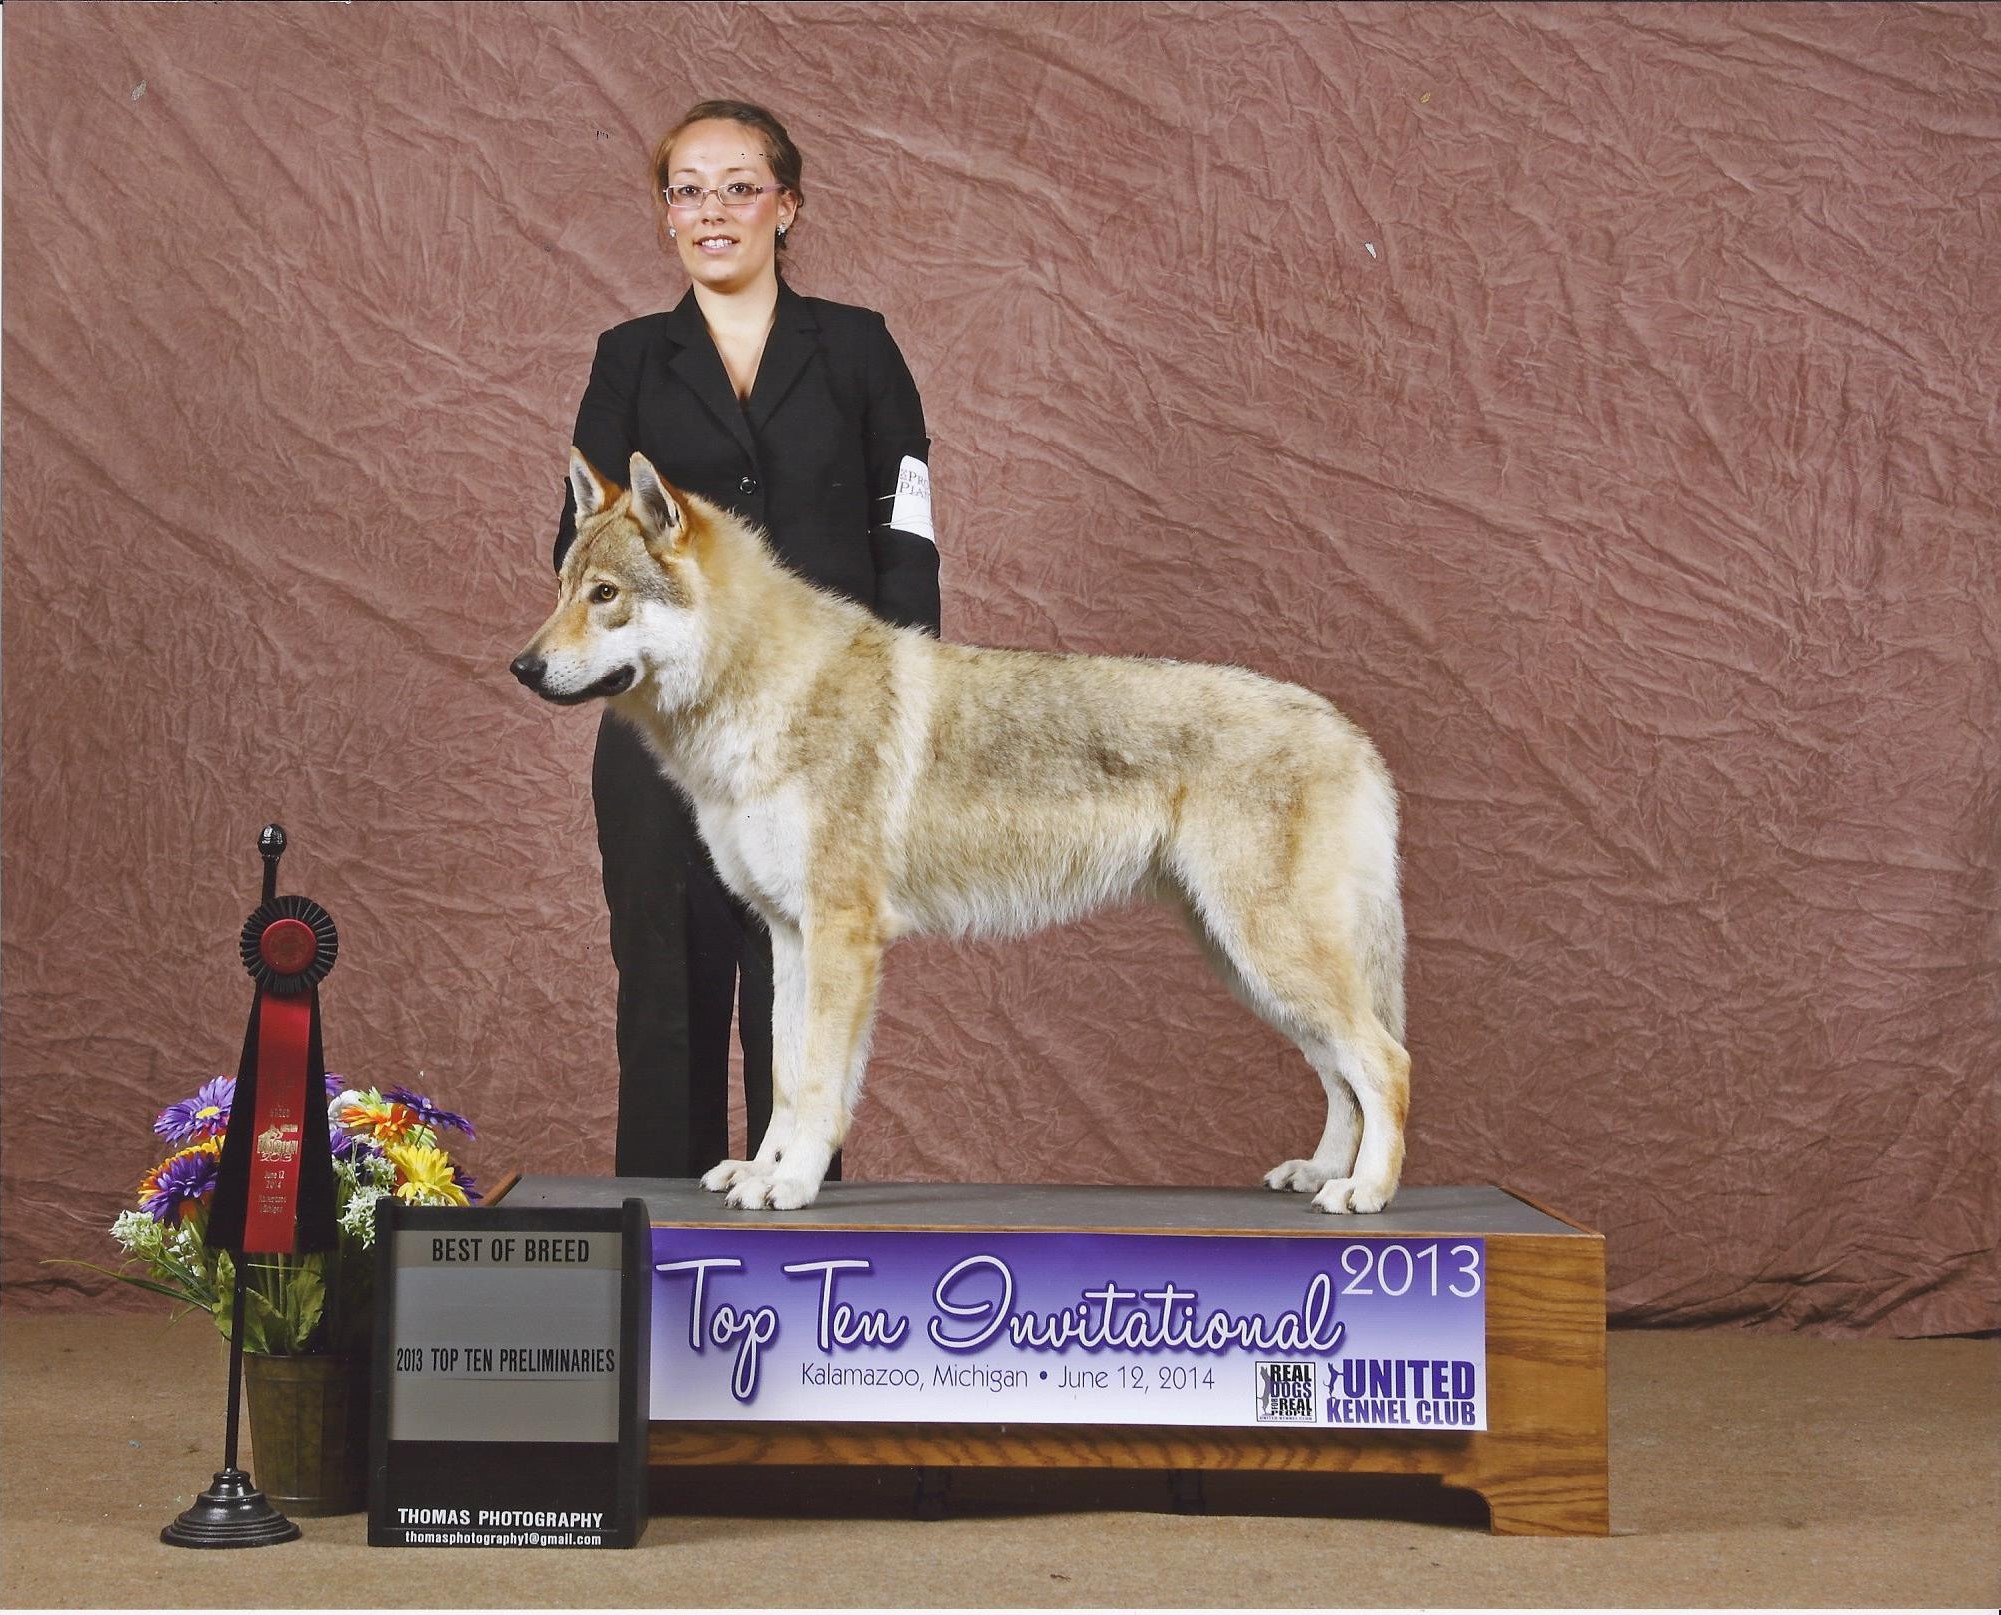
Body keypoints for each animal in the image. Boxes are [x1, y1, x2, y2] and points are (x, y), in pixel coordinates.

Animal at [516, 452, 1408, 1216]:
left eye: (605, 595)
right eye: (560, 588)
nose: (521, 668)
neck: (764, 691)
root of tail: (1351, 734)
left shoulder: (842, 935)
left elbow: (819, 1085)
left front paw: (793, 1183)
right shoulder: (789, 935)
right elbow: (785, 1077)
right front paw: (759, 1172)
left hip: (1268, 952)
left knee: (1384, 1063)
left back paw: (1364, 1192)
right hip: (1248, 963)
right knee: (1341, 1075)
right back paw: (1320, 1173)